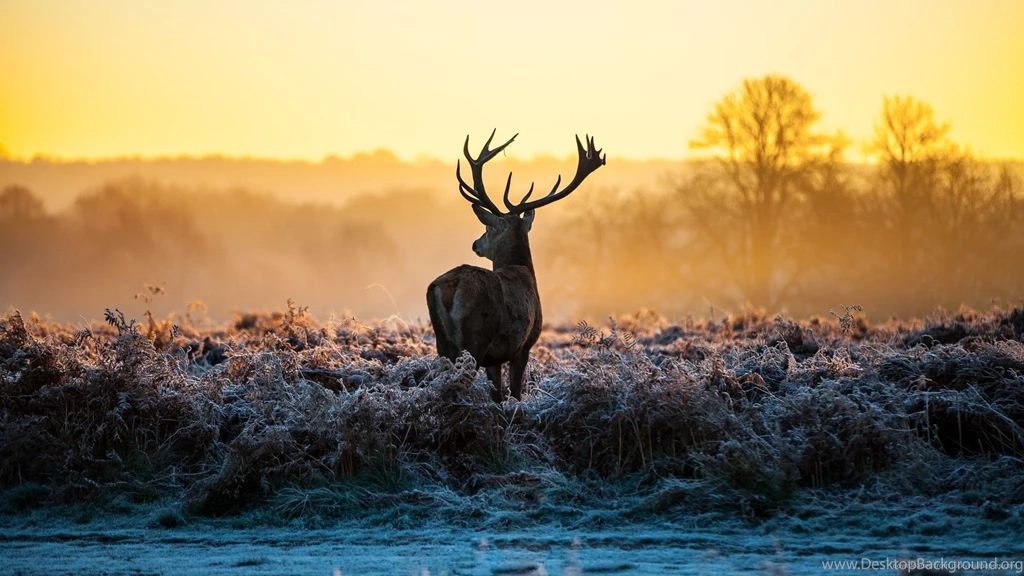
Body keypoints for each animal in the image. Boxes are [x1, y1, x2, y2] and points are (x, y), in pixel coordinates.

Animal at [427, 130, 606, 402]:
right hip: (475, 337)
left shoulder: (495, 358)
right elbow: (516, 393)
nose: (475, 244)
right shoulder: (523, 345)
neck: (523, 270)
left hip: (443, 342)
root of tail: (451, 285)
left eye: (488, 228)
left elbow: (498, 395)